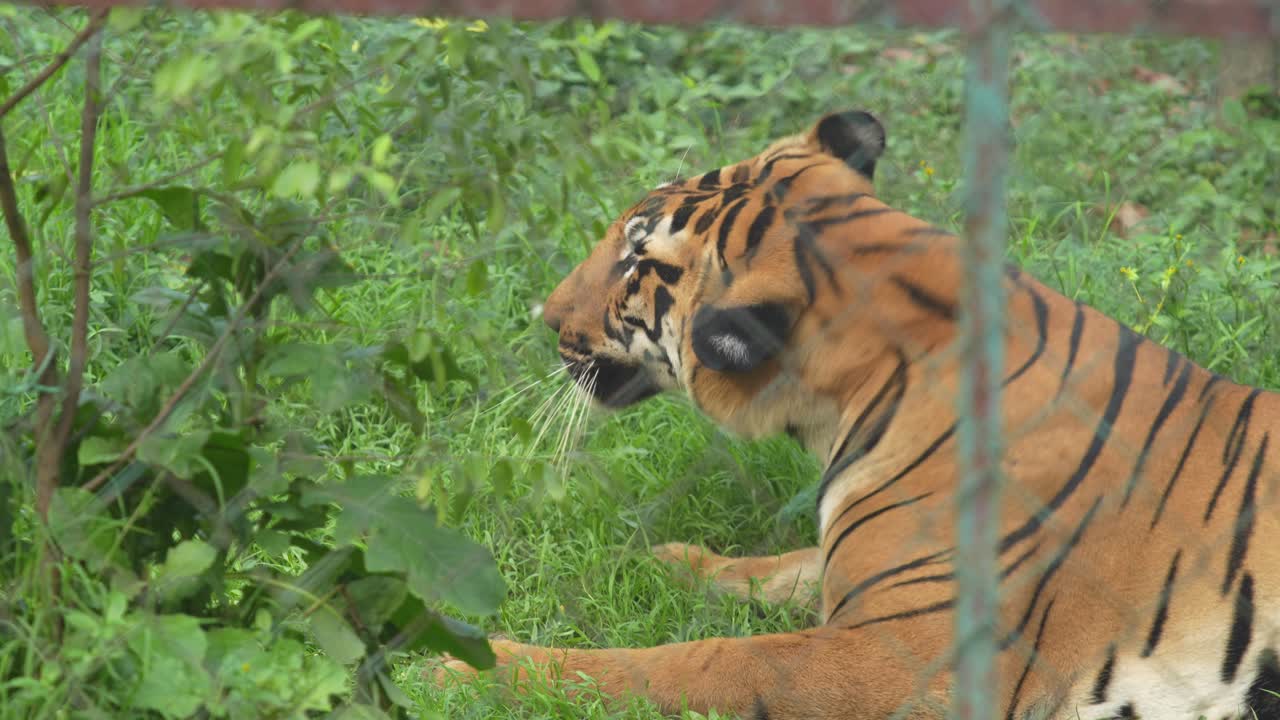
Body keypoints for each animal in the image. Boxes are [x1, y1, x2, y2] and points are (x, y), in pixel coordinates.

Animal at [436, 110, 1280, 719]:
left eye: (634, 263)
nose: (546, 317)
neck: (840, 406)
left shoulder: (909, 661)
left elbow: (709, 659)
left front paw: (467, 670)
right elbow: (783, 565)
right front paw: (660, 560)